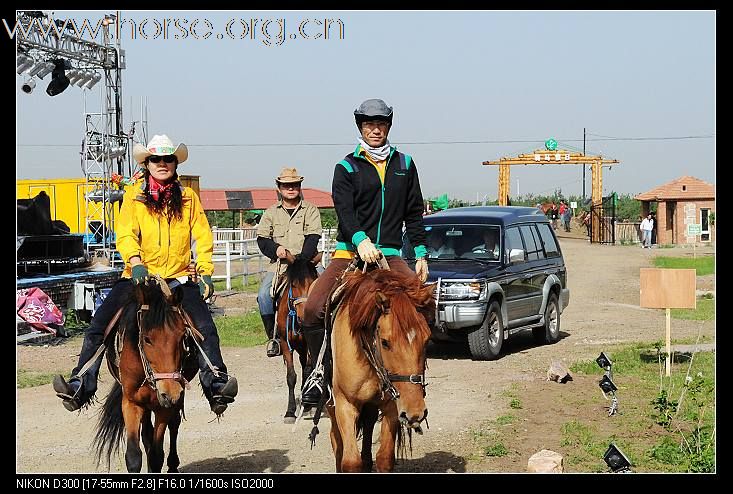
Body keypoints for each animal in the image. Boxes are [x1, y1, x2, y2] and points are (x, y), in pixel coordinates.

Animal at [93, 276, 199, 472]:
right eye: (147, 339)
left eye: (182, 337)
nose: (169, 392)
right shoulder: (131, 402)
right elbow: (133, 455)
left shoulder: (163, 406)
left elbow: (157, 455)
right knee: (147, 434)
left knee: (174, 425)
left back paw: (173, 464)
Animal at [274, 253, 318, 422]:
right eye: (293, 285)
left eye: (313, 283)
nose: (303, 316)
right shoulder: (286, 344)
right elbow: (291, 376)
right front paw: (290, 411)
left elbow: (307, 371)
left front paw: (308, 405)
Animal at [324, 268, 434, 472]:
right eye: (385, 342)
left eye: (427, 339)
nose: (416, 412)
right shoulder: (345, 404)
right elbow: (350, 461)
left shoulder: (392, 405)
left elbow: (384, 458)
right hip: (330, 403)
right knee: (336, 440)